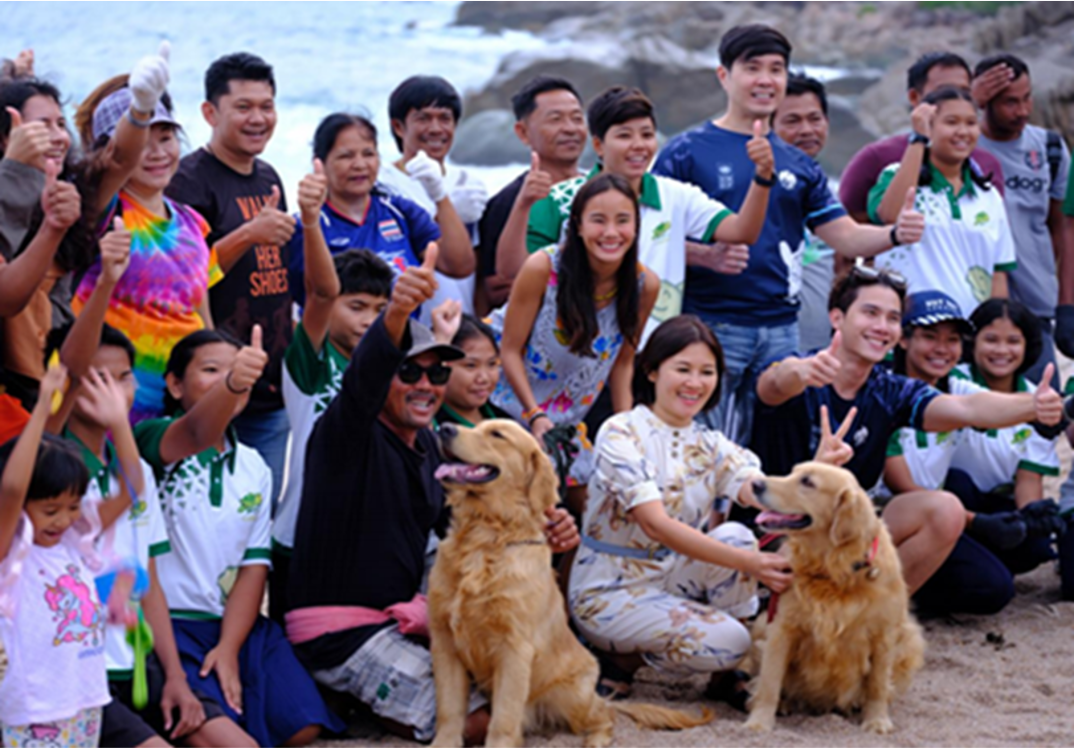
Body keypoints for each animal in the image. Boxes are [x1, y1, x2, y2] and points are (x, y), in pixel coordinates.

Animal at [427, 421, 713, 748]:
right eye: (475, 426)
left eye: (497, 435)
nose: (444, 427)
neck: (485, 535)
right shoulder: (444, 642)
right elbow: (449, 711)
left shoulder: (514, 648)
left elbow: (503, 720)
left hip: (570, 695)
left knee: (605, 715)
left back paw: (596, 739)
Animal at [747, 457, 923, 735]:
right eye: (792, 472)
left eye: (808, 482)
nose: (755, 483)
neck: (833, 570)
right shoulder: (783, 629)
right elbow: (770, 682)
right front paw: (759, 722)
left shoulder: (884, 635)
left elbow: (877, 684)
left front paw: (877, 720)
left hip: (909, 639)